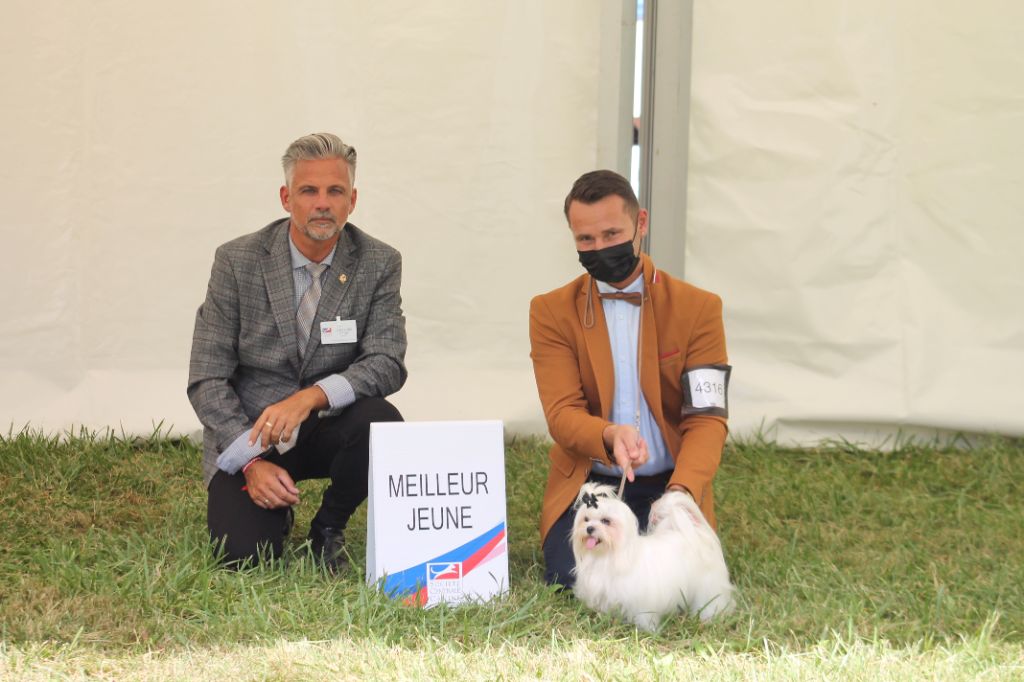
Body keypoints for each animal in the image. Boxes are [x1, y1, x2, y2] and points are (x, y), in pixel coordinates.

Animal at [570, 482, 735, 631]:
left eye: (606, 521)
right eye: (586, 519)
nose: (589, 528)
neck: (607, 556)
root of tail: (696, 531)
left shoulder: (642, 602)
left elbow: (645, 617)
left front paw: (648, 631)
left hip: (709, 585)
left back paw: (709, 617)